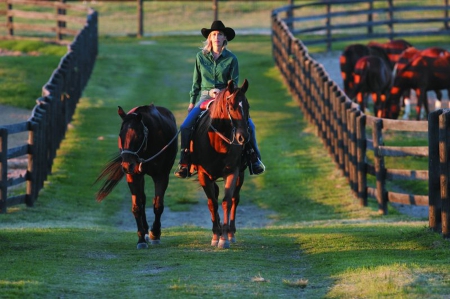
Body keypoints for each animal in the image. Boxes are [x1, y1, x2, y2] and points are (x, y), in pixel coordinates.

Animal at [94, 104, 178, 250]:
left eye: (138, 136)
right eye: (120, 135)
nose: (127, 165)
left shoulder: (161, 175)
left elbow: (158, 205)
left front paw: (155, 234)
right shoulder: (133, 175)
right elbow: (137, 206)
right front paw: (141, 239)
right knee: (142, 199)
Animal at [190, 78, 251, 250]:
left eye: (248, 106)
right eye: (231, 107)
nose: (243, 137)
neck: (217, 142)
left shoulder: (232, 172)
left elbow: (226, 202)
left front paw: (224, 238)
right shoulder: (204, 175)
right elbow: (212, 203)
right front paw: (216, 236)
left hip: (240, 174)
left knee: (235, 199)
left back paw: (231, 233)